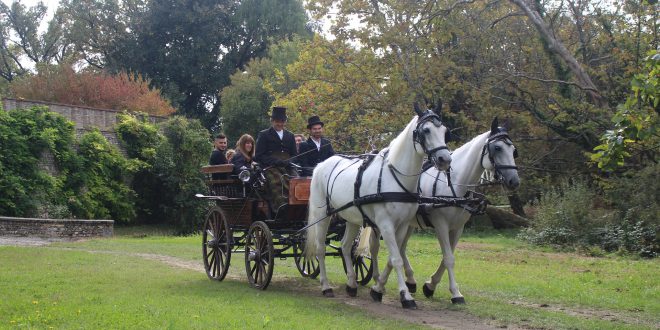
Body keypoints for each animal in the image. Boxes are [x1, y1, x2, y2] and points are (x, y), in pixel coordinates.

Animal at [306, 105, 454, 310]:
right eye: (426, 130)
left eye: (444, 131)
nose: (444, 159)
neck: (396, 178)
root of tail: (321, 164)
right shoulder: (385, 225)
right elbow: (397, 258)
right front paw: (406, 296)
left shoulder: (402, 226)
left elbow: (393, 258)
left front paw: (378, 289)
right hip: (323, 214)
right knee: (320, 248)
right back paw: (326, 286)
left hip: (351, 218)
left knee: (345, 246)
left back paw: (351, 284)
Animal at [372, 118, 520, 304]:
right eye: (498, 148)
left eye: (513, 151)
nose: (514, 181)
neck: (455, 185)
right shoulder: (440, 224)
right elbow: (449, 258)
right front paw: (455, 293)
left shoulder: (458, 228)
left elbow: (447, 257)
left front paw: (430, 285)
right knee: (375, 246)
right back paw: (376, 278)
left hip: (409, 223)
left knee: (402, 248)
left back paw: (410, 280)